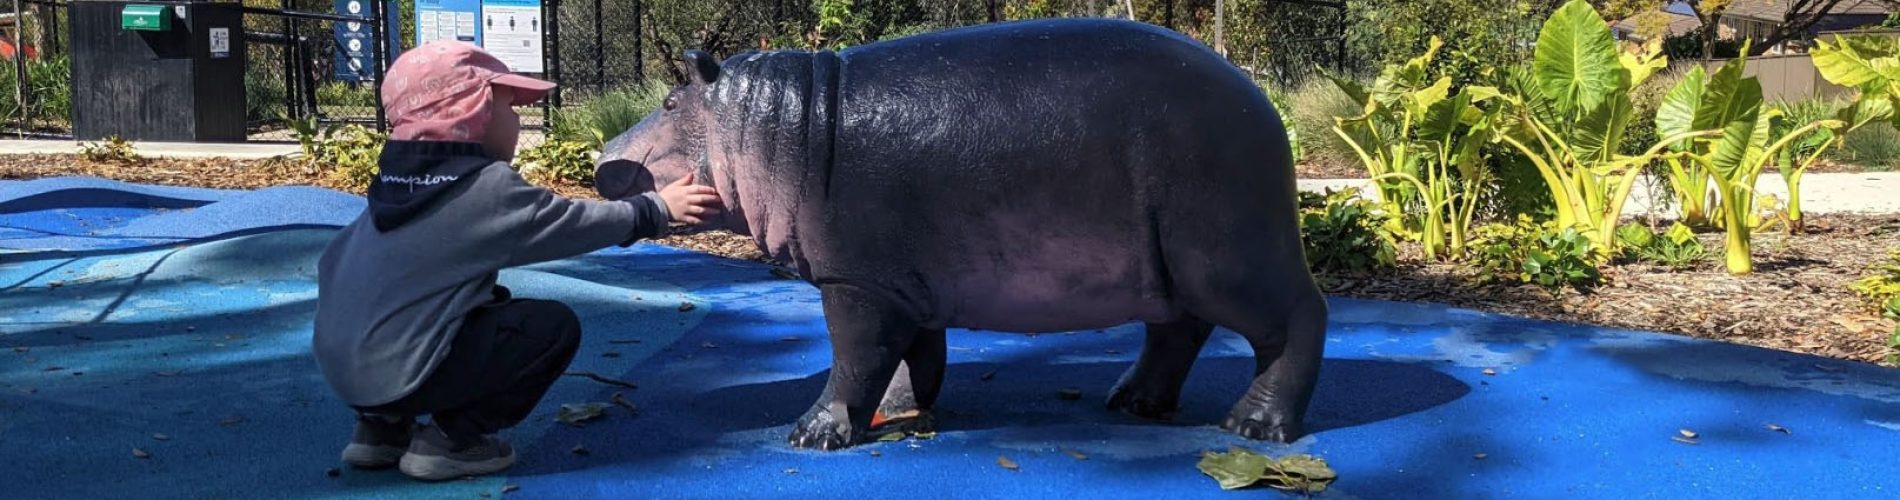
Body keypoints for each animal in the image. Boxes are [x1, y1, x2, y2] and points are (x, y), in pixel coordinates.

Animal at [595, 18, 1328, 451]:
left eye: (670, 103)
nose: (602, 155)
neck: (776, 124)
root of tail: (1260, 101)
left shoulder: (855, 282)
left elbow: (852, 360)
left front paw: (813, 434)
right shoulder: (899, 284)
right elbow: (908, 359)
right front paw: (902, 414)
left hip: (1229, 256)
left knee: (1298, 317)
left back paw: (1255, 427)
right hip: (1173, 267)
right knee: (1179, 330)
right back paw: (1131, 403)